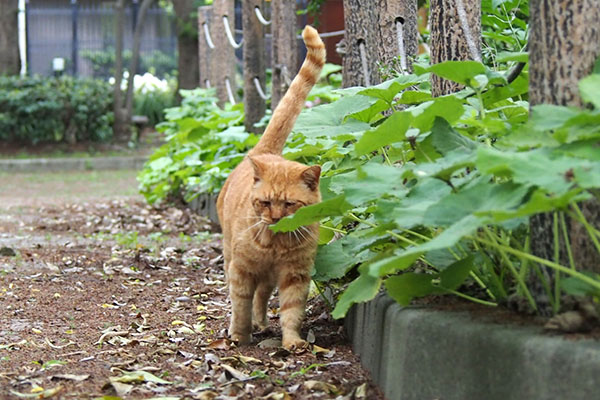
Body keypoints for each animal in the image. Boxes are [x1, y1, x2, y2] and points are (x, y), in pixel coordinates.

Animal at [217, 26, 326, 348]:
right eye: (264, 202)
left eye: (289, 204)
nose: (275, 218)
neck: (275, 245)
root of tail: (264, 152)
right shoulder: (242, 271)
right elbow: (239, 305)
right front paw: (239, 336)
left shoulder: (295, 275)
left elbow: (291, 310)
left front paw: (292, 342)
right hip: (230, 254)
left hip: (267, 278)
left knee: (262, 298)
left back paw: (263, 323)